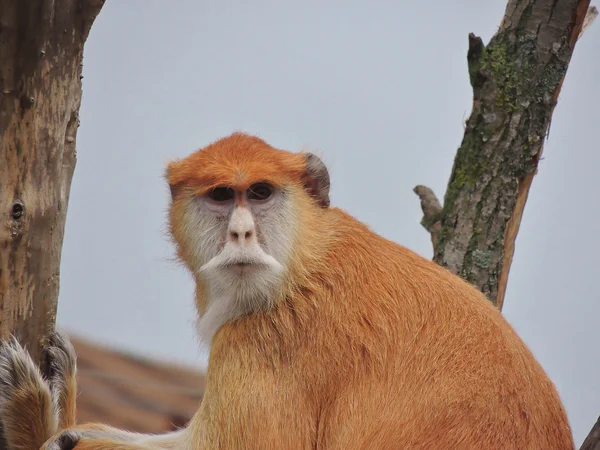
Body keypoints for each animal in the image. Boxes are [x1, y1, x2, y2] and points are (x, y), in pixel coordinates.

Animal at [0, 132, 576, 448]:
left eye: (259, 192)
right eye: (221, 195)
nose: (241, 233)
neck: (304, 263)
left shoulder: (265, 341)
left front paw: (33, 413)